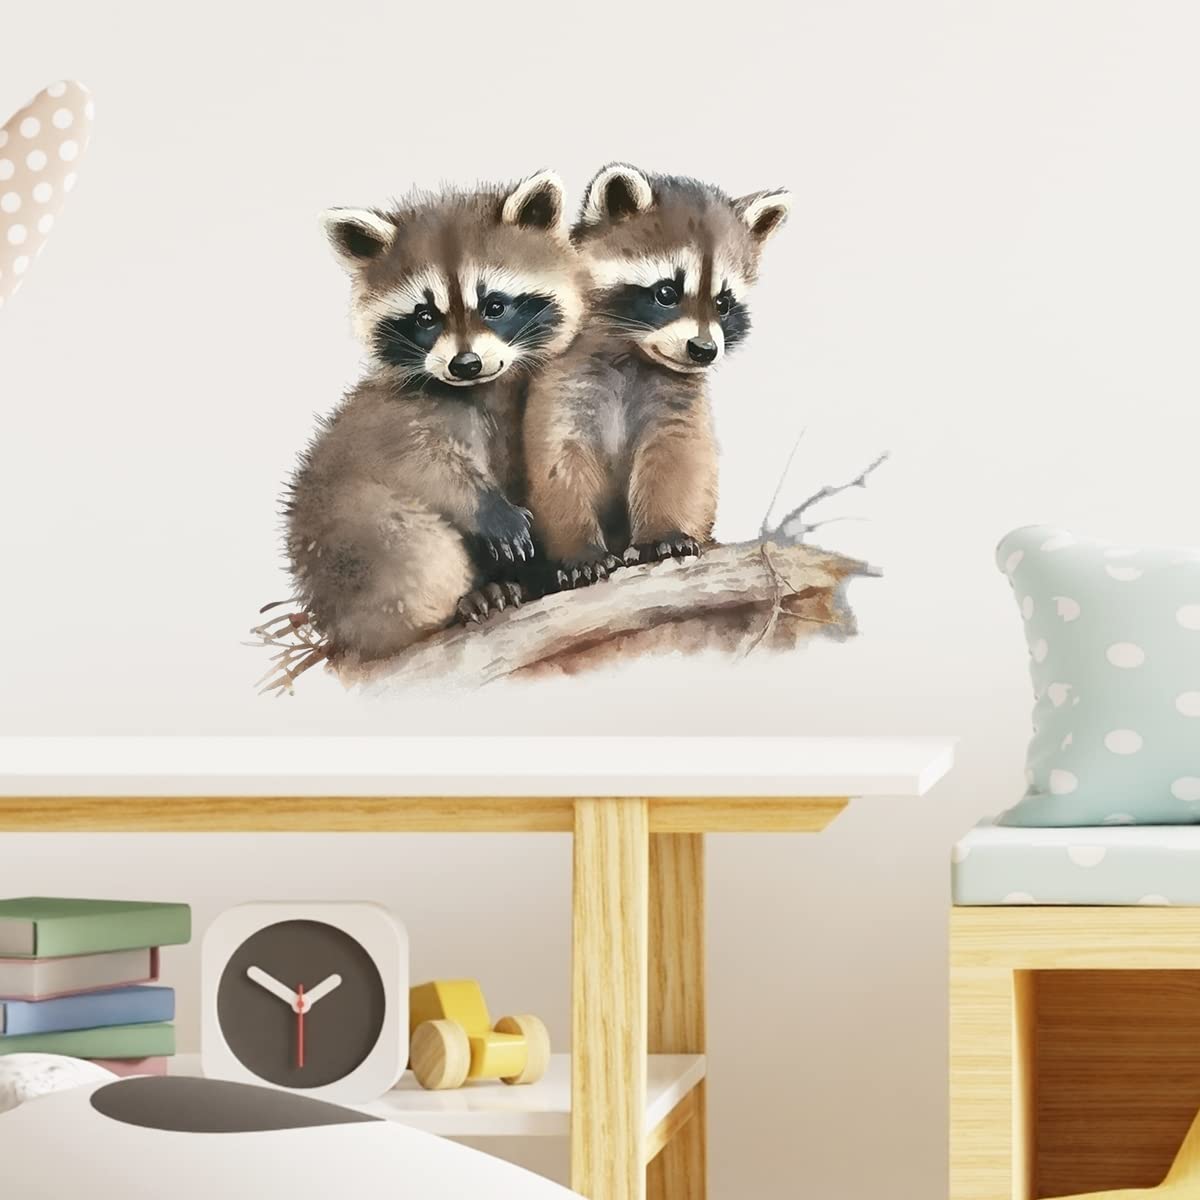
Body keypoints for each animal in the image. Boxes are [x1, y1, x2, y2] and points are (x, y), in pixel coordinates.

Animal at [284, 171, 587, 661]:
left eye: (495, 306)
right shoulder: (386, 422)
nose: (465, 364)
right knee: (410, 545)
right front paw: (483, 505)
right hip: (351, 551)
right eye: (425, 316)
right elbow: (419, 465)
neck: (478, 388)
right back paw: (460, 603)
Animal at [524, 164, 791, 584]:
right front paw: (579, 549)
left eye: (723, 302)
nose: (703, 350)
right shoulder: (562, 385)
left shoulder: (679, 402)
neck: (633, 354)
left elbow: (677, 458)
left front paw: (662, 532)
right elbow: (558, 465)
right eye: (666, 292)